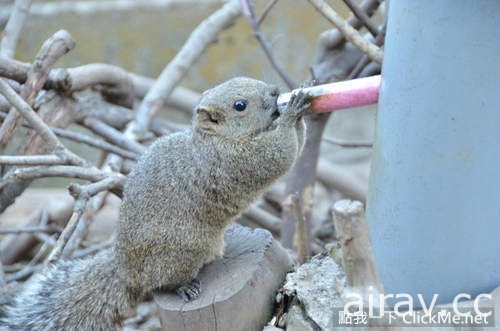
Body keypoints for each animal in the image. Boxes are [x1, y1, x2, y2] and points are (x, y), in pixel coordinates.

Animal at [0, 76, 310, 330]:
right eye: (240, 105)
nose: (275, 91)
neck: (213, 139)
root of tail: (126, 271)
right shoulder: (236, 162)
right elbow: (279, 155)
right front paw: (292, 113)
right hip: (183, 250)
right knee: (162, 284)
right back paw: (184, 288)